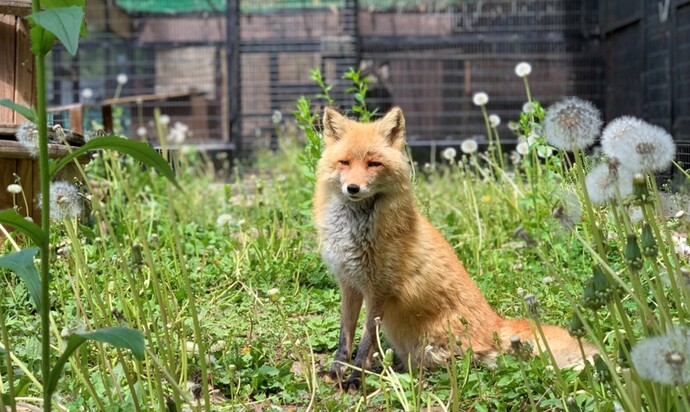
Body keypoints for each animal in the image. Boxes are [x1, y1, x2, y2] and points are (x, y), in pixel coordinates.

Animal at [314, 106, 592, 390]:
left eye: (373, 164)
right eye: (345, 162)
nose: (353, 188)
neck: (353, 231)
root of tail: (495, 323)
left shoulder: (379, 290)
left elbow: (366, 342)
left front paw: (355, 378)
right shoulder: (349, 284)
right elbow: (345, 337)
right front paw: (336, 371)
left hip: (430, 346)